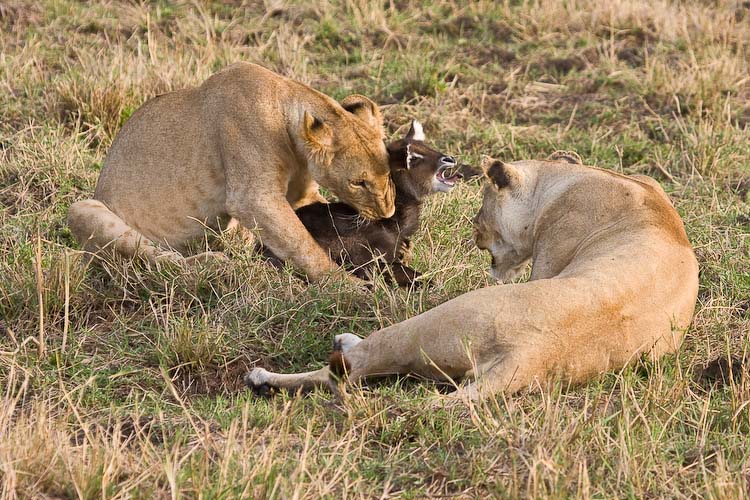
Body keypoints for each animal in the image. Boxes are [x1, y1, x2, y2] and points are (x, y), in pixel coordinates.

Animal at [67, 62, 396, 282]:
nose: (387, 212)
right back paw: (216, 264)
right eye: (358, 183)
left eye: (388, 172)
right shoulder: (253, 198)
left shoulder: (301, 194)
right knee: (159, 262)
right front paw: (345, 285)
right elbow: (301, 243)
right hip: (83, 210)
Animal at [245, 154, 700, 400]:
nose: (474, 231)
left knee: (346, 371)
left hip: (428, 326)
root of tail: (527, 356)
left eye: (481, 207)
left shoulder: (549, 256)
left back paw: (265, 377)